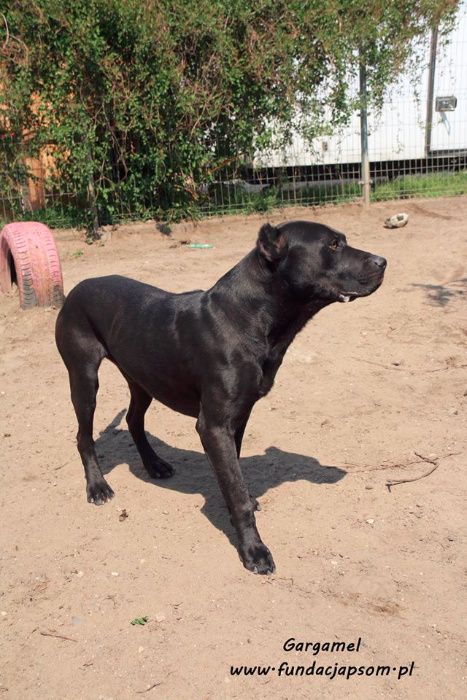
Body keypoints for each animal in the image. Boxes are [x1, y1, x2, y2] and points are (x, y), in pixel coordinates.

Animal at [55, 223, 388, 576]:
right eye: (333, 244)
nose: (383, 262)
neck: (249, 316)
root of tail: (77, 288)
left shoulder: (238, 417)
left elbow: (235, 475)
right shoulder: (214, 426)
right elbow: (237, 493)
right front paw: (254, 551)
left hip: (143, 378)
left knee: (134, 420)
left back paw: (154, 464)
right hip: (84, 377)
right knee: (84, 436)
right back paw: (97, 487)